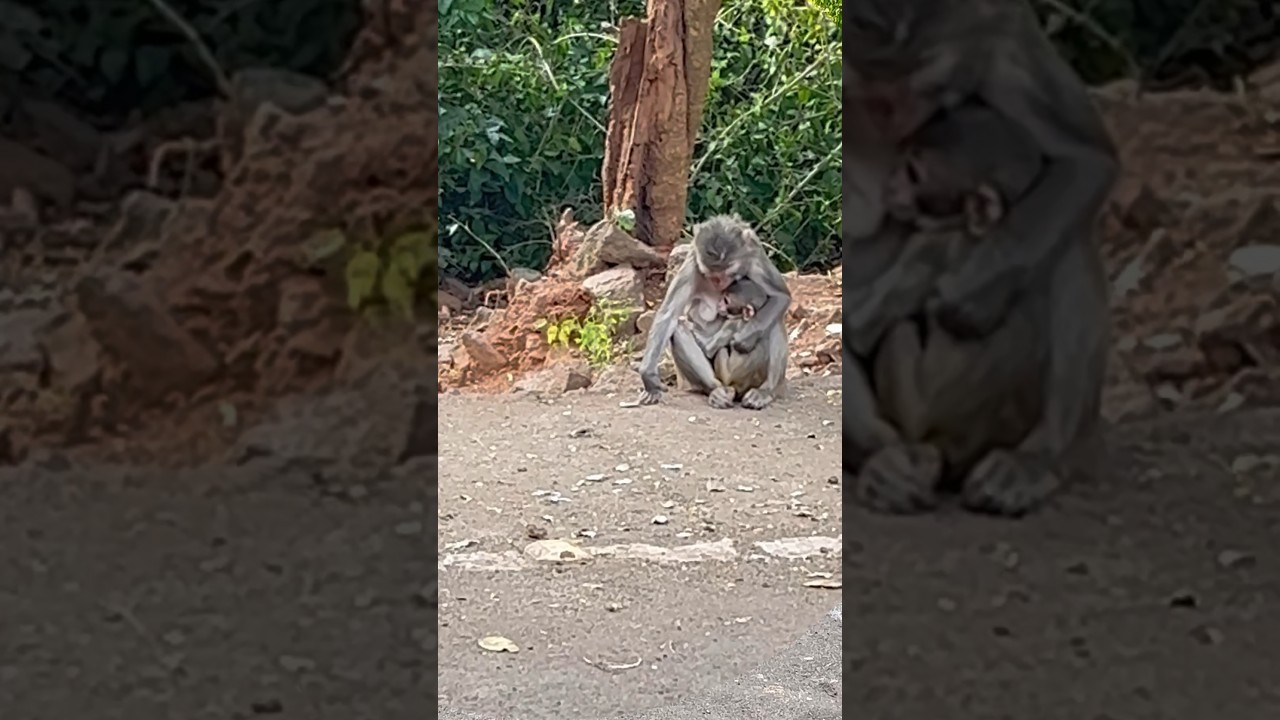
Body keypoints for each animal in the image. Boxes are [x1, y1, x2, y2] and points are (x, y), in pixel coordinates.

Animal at [636, 215, 791, 410]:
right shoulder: (693, 259)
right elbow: (669, 314)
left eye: (728, 272)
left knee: (775, 322)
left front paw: (745, 338)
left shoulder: (754, 251)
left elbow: (781, 296)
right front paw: (648, 375)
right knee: (679, 328)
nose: (720, 282)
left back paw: (765, 391)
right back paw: (716, 389)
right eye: (712, 275)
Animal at [841, 0, 1119, 517]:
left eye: (932, 89)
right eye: (876, 98)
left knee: (1068, 244)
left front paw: (973, 296)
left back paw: (1037, 458)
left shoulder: (993, 18)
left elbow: (1085, 158)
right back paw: (886, 461)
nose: (901, 120)